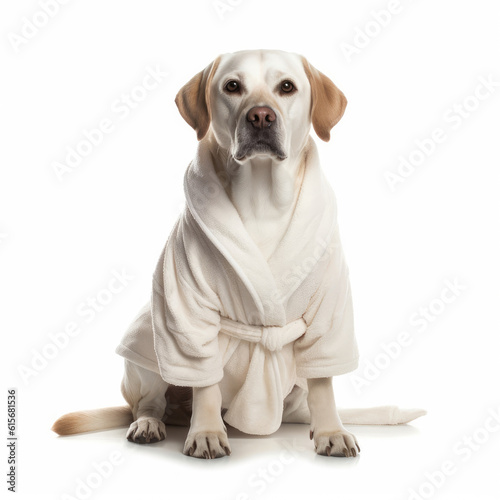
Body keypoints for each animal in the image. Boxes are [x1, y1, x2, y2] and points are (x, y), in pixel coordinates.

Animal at [52, 49, 424, 458]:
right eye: (233, 86)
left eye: (287, 87)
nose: (260, 116)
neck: (263, 199)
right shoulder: (189, 311)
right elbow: (205, 385)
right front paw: (207, 432)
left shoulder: (328, 311)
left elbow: (323, 383)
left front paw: (331, 431)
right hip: (148, 345)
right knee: (148, 401)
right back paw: (150, 423)